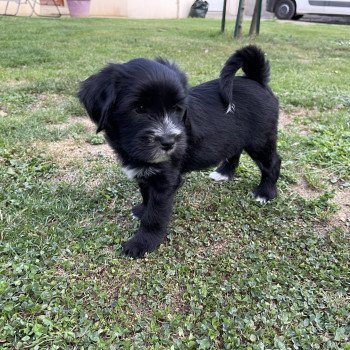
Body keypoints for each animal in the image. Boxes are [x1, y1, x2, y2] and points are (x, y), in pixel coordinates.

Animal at [78, 45, 282, 258]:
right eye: (139, 109)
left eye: (177, 109)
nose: (168, 142)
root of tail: (256, 80)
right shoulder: (146, 173)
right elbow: (146, 195)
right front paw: (142, 210)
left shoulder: (165, 181)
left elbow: (155, 214)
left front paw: (143, 242)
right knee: (235, 151)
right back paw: (224, 173)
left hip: (260, 141)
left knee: (273, 163)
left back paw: (265, 193)